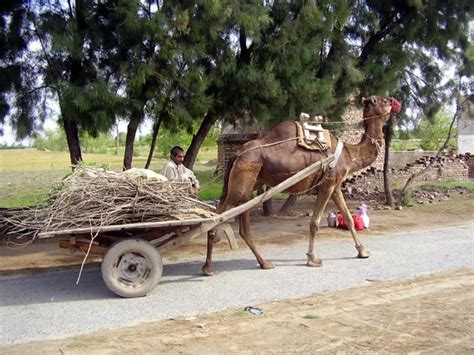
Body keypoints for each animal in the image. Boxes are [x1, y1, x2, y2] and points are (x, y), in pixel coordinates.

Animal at [202, 96, 402, 276]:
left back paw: (264, 263)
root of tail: (238, 153)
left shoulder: (336, 186)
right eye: (384, 100)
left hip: (248, 184)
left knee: (242, 226)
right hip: (242, 180)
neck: (349, 154)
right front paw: (312, 259)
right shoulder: (327, 185)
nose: (396, 103)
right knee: (217, 217)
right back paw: (208, 268)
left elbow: (349, 218)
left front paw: (363, 251)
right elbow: (314, 223)